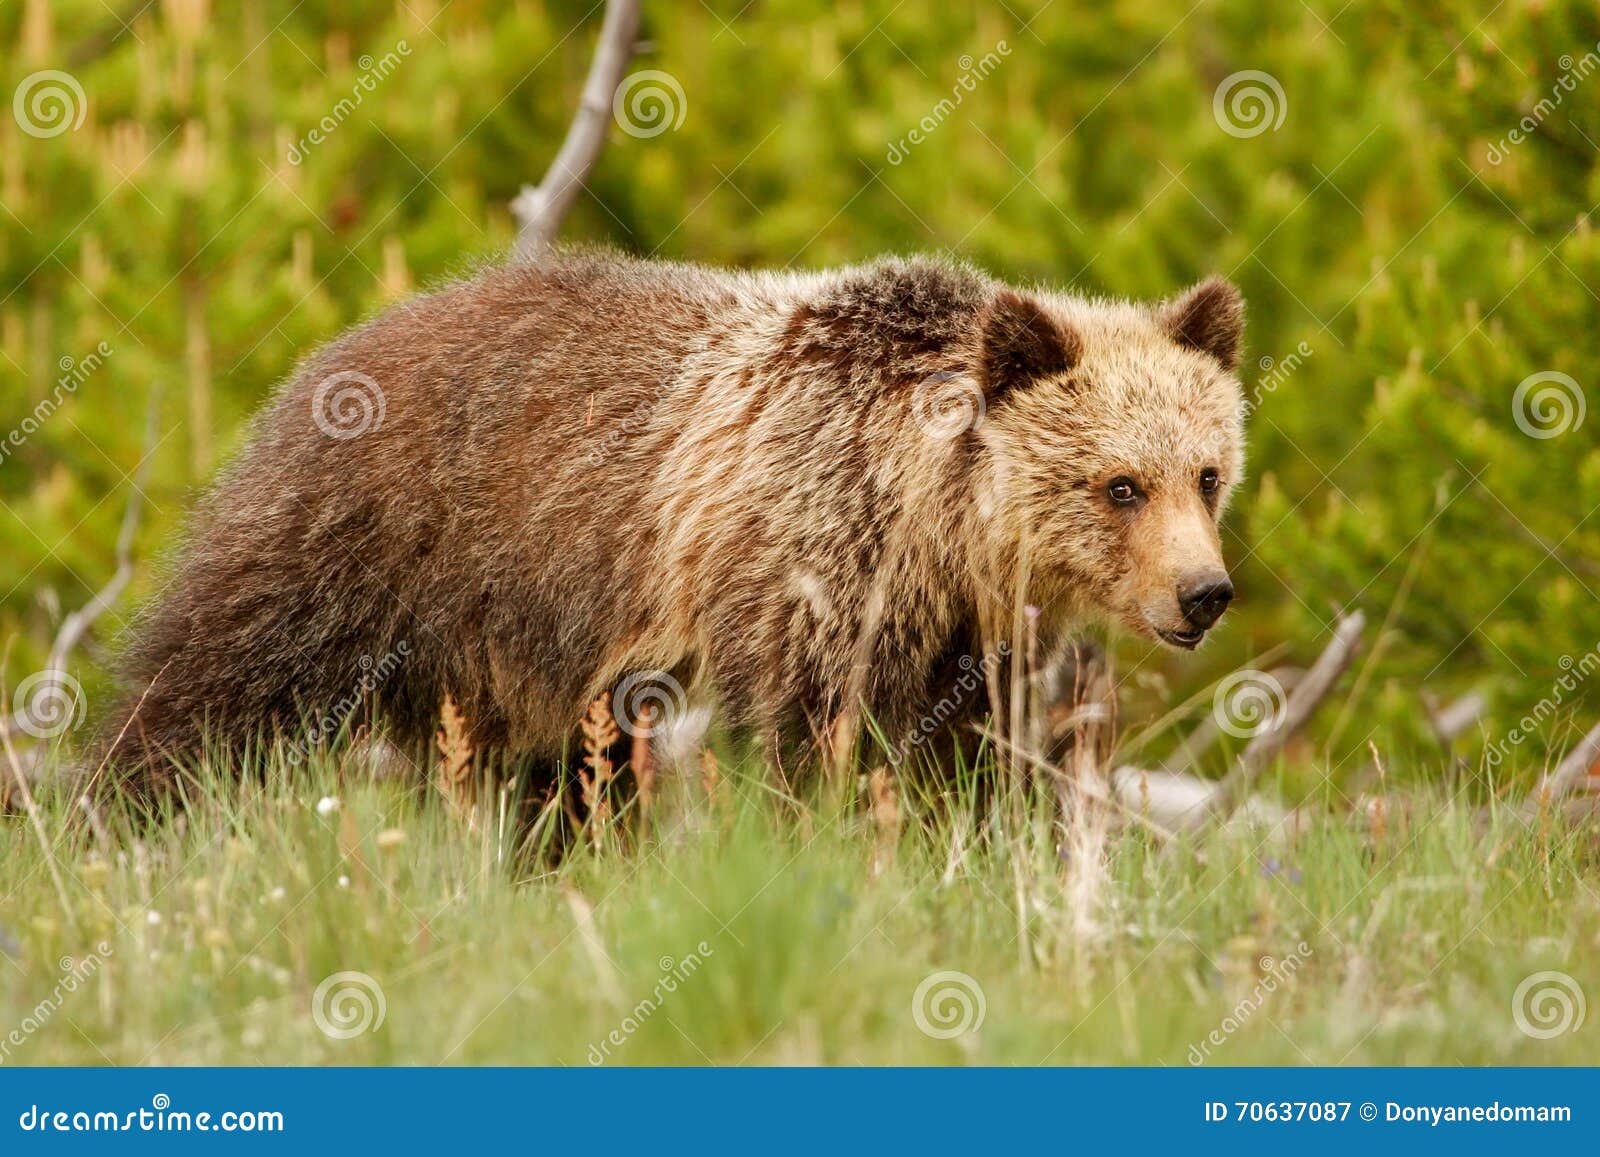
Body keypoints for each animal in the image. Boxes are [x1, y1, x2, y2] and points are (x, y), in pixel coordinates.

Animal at [103, 252, 1248, 796]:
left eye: (1206, 473)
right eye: (1119, 484)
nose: (1205, 592)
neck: (930, 522)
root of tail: (335, 347)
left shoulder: (959, 633)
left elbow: (965, 753)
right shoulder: (802, 558)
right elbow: (801, 734)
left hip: (510, 646)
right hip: (366, 535)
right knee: (219, 679)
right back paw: (126, 809)